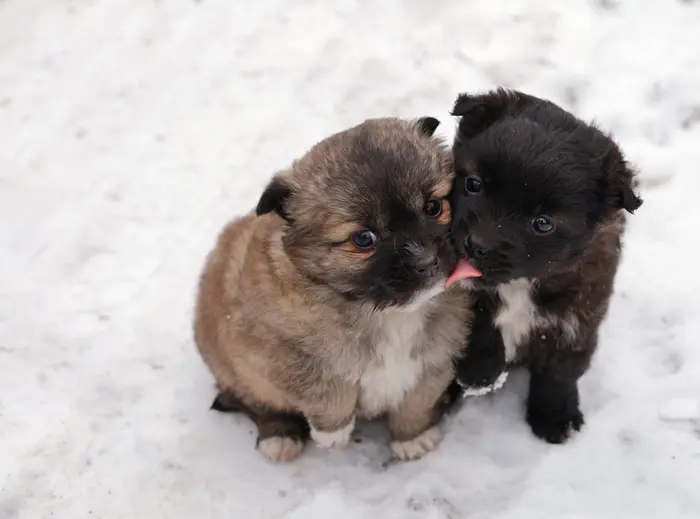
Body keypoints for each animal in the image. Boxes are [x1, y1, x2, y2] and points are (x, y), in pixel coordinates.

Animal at [194, 118, 474, 464]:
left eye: (434, 207)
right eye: (364, 239)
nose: (426, 261)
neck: (386, 313)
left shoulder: (436, 357)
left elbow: (416, 400)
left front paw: (412, 437)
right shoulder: (275, 353)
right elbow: (328, 389)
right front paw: (333, 432)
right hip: (232, 367)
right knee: (257, 403)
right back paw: (280, 436)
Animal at [446, 88, 644, 442]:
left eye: (543, 223)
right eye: (473, 184)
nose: (476, 245)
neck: (522, 283)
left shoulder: (576, 317)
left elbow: (560, 372)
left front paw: (555, 417)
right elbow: (477, 317)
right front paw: (480, 373)